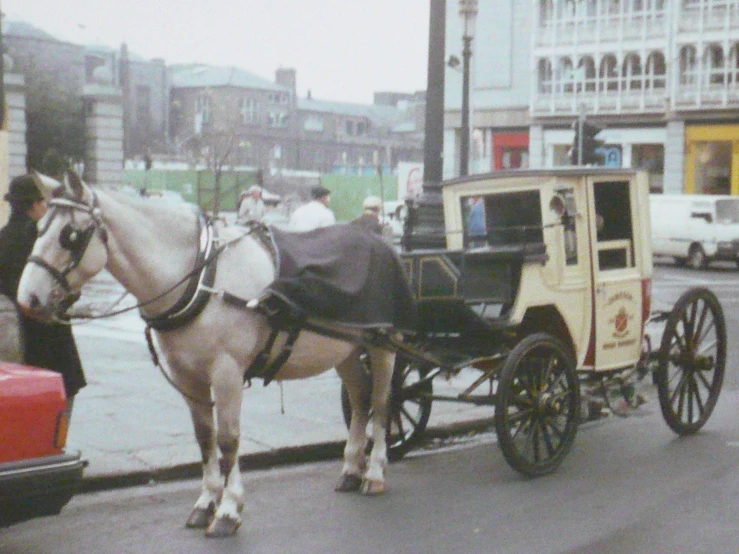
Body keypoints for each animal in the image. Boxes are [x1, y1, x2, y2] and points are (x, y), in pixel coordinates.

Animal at [15, 172, 398, 536]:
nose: (28, 298)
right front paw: (206, 501)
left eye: (69, 235)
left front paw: (228, 509)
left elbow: (228, 439)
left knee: (381, 404)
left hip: (384, 347)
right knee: (360, 400)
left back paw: (375, 472)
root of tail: (379, 240)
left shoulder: (227, 372)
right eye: (38, 227)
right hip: (347, 350)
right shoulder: (189, 377)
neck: (201, 277)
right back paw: (351, 469)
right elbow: (204, 438)